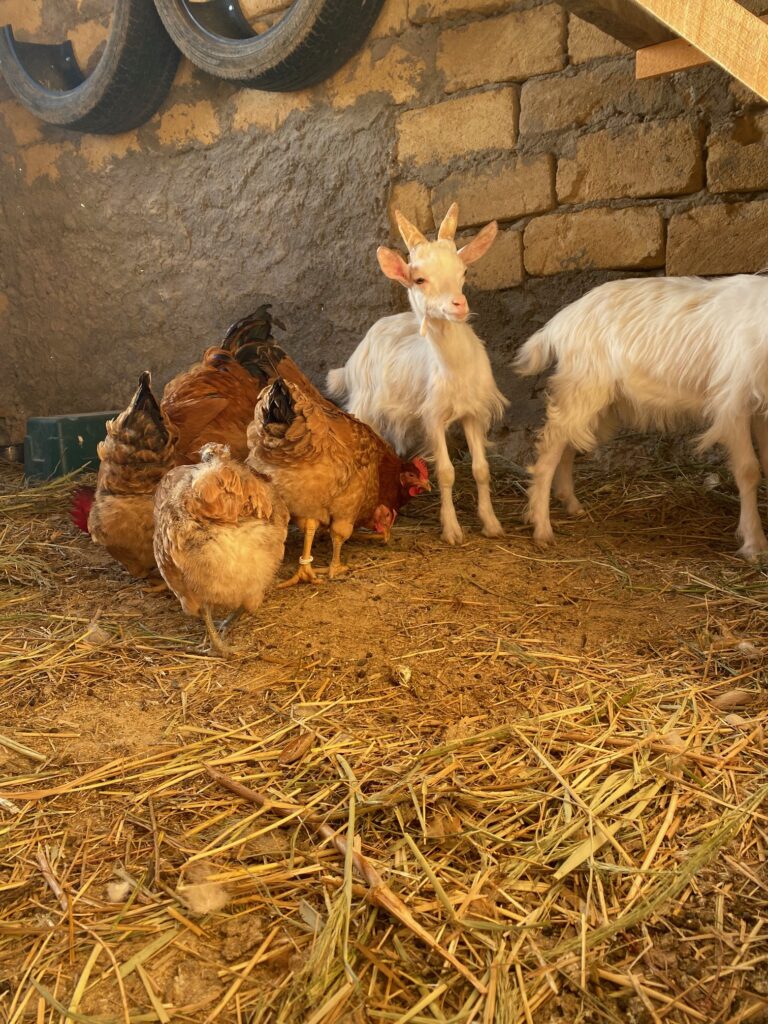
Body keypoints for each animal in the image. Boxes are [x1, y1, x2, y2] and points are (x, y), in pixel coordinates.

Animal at [327, 202, 507, 548]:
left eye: (463, 272)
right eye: (420, 279)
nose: (458, 305)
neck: (454, 368)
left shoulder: (473, 412)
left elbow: (481, 468)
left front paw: (492, 524)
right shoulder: (432, 417)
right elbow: (447, 472)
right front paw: (452, 530)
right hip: (365, 405)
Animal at [512, 272, 768, 561]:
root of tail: (559, 323)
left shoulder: (761, 408)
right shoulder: (733, 402)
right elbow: (749, 470)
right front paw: (755, 544)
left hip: (594, 401)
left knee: (568, 443)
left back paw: (571, 503)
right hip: (582, 386)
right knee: (550, 448)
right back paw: (542, 528)